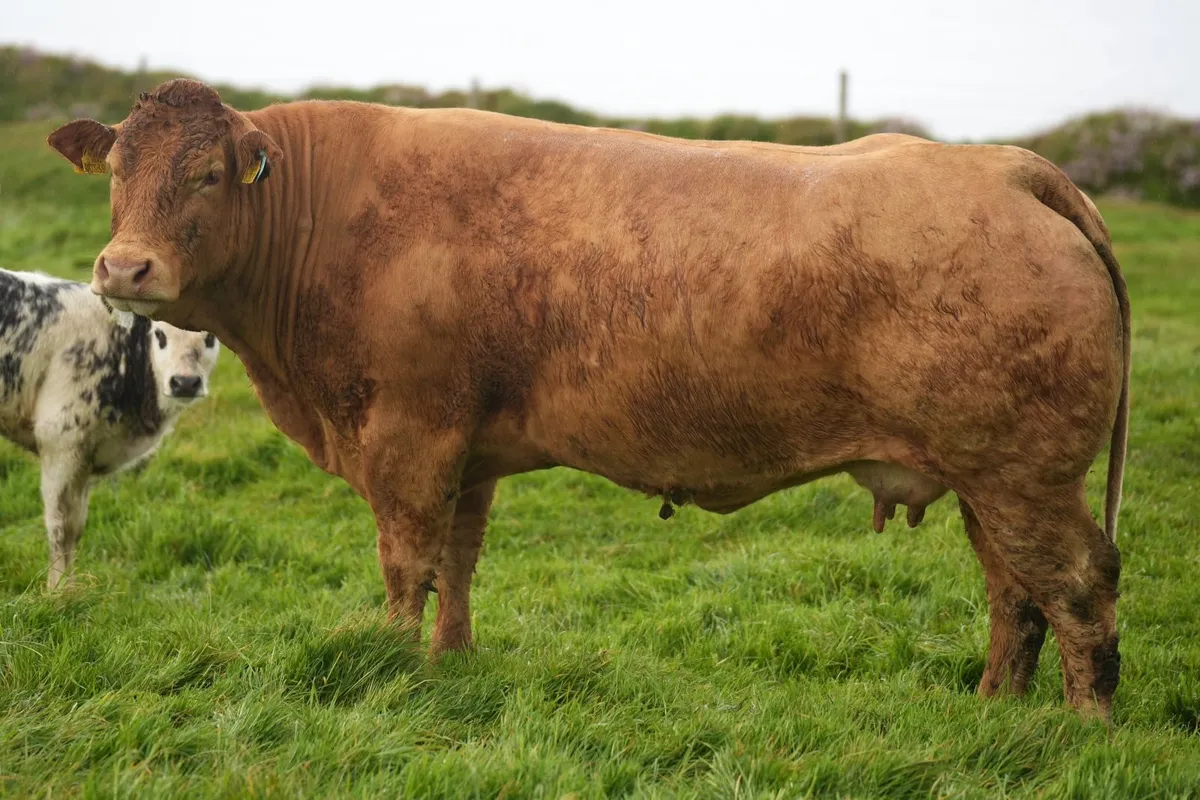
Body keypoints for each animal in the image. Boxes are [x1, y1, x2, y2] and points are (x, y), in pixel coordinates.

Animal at [0, 268, 220, 589]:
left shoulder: (83, 459)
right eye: (160, 335)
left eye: (210, 337)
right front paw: (57, 592)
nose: (185, 383)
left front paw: (72, 589)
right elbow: (60, 527)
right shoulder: (60, 440)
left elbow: (76, 526)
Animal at [47, 79, 1130, 717]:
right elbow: (457, 564)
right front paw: (448, 663)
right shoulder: (466, 448)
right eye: (116, 169)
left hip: (1024, 475)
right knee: (1015, 593)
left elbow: (405, 564)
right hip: (989, 478)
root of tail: (1006, 168)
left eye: (208, 174)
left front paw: (392, 664)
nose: (124, 266)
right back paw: (993, 710)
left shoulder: (407, 437)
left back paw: (1081, 732)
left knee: (1077, 584)